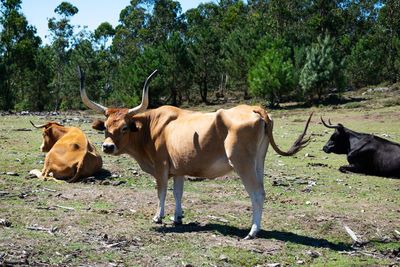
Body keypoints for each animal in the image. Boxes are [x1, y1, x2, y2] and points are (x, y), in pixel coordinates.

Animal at [79, 68, 314, 240]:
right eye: (106, 126)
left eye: (125, 127)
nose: (107, 147)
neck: (151, 128)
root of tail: (254, 108)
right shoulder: (179, 168)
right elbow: (178, 192)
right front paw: (177, 217)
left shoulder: (160, 166)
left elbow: (161, 192)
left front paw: (158, 216)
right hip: (258, 162)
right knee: (262, 191)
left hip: (242, 163)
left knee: (257, 193)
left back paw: (252, 231)